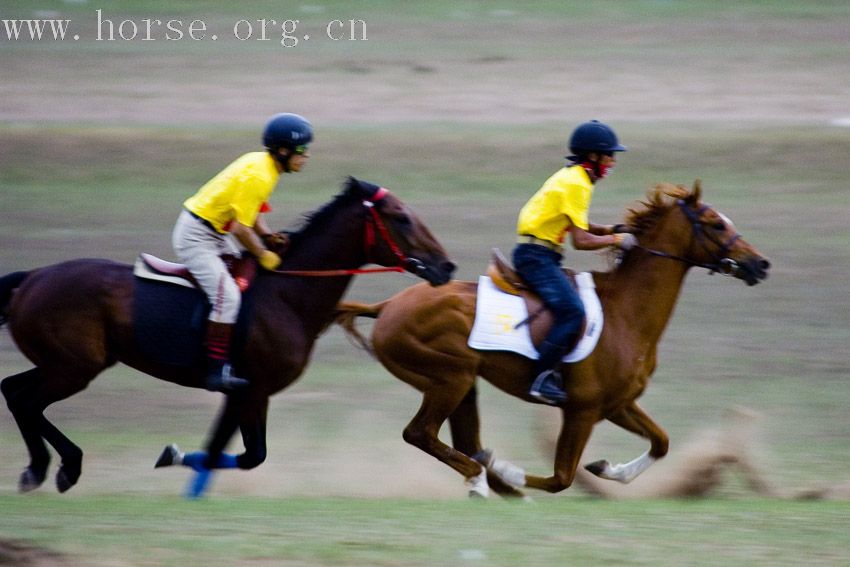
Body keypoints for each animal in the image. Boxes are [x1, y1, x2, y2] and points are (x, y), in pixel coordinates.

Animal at [0, 178, 454, 492]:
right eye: (400, 217)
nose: (446, 266)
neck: (287, 293)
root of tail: (33, 277)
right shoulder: (251, 390)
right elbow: (246, 454)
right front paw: (174, 457)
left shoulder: (245, 394)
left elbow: (232, 450)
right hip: (74, 368)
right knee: (26, 400)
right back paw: (59, 466)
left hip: (63, 364)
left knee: (13, 390)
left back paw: (41, 467)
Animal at [336, 184, 768, 500]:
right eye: (714, 223)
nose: (760, 264)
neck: (627, 312)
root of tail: (387, 306)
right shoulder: (581, 410)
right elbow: (562, 476)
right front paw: (509, 469)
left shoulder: (618, 404)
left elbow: (660, 442)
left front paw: (607, 468)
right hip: (449, 378)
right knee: (421, 434)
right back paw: (484, 479)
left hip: (464, 384)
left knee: (462, 440)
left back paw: (488, 481)